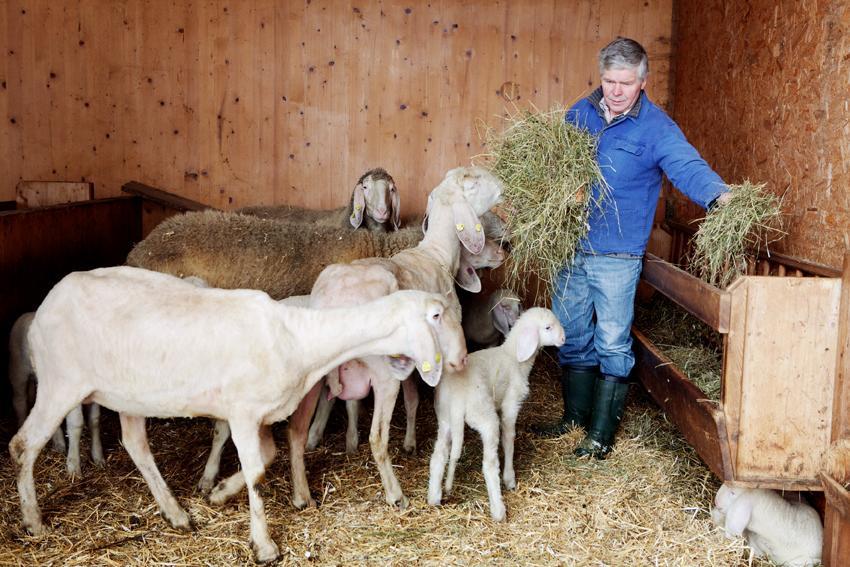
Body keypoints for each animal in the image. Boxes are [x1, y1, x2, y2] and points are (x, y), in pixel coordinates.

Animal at [7, 310, 103, 474]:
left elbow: (95, 420)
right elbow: (76, 423)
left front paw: (99, 458)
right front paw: (73, 468)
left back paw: (59, 444)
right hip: (17, 370)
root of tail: (25, 314)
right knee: (19, 401)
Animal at [424, 308, 564, 520]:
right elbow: (509, 438)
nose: (564, 339)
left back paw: (434, 497)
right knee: (489, 465)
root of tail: (458, 397)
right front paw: (510, 478)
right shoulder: (511, 404)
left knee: (438, 456)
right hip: (485, 417)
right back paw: (498, 510)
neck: (514, 357)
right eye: (548, 327)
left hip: (445, 419)